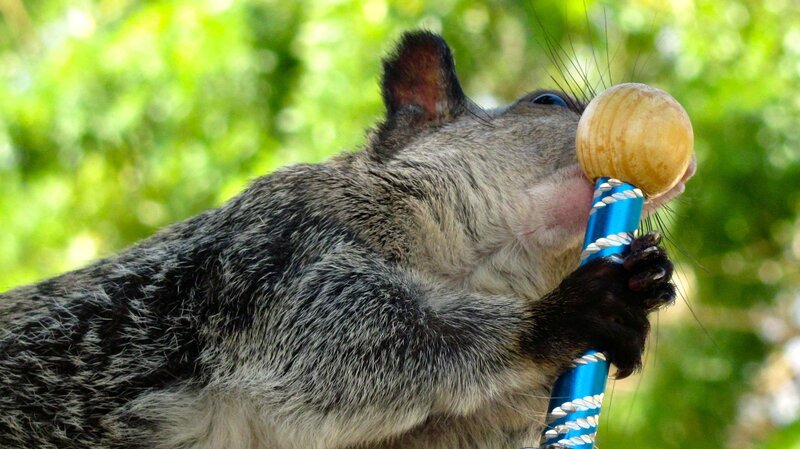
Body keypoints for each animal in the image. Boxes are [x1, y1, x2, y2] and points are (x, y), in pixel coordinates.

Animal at [0, 31, 695, 449]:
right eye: (545, 100)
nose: (682, 166)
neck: (469, 272)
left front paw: (649, 281)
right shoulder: (279, 253)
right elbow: (341, 336)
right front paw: (566, 314)